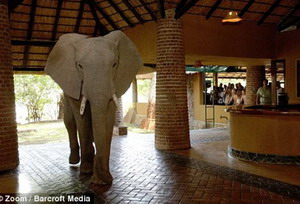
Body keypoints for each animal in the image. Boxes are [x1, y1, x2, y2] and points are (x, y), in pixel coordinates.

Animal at [45, 30, 142, 185]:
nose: (102, 179)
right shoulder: (74, 78)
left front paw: (101, 179)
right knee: (69, 120)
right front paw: (86, 171)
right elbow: (81, 117)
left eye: (115, 64)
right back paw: (74, 161)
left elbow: (108, 113)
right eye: (79, 66)